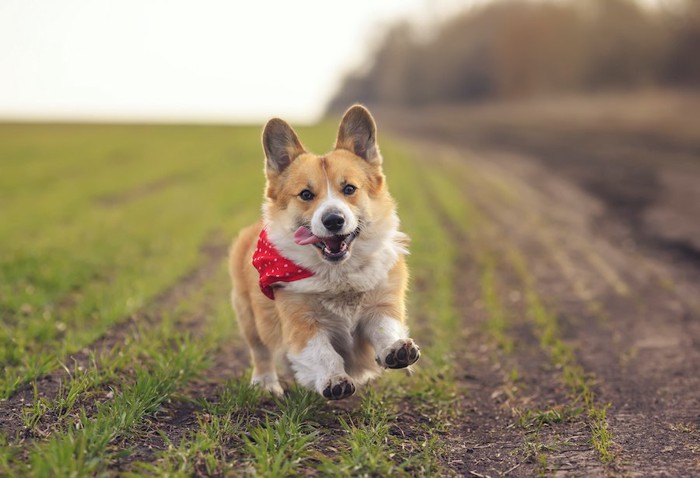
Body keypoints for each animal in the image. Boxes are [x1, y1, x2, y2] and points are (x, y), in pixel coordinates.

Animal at [230, 104, 418, 400]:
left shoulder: (381, 305)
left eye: (349, 189)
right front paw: (334, 380)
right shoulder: (303, 325)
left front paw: (397, 349)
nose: (333, 220)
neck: (339, 275)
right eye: (306, 194)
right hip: (248, 318)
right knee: (261, 352)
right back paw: (266, 384)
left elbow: (385, 328)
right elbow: (323, 354)